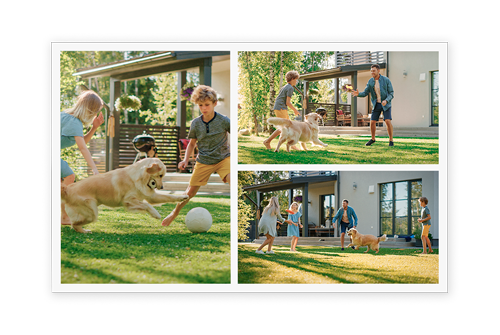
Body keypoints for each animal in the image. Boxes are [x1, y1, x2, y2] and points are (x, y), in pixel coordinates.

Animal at [60, 158, 188, 234]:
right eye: (160, 175)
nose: (161, 187)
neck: (138, 178)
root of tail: (67, 189)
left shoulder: (150, 197)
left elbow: (168, 197)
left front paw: (183, 197)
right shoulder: (128, 200)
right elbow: (146, 205)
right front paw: (155, 214)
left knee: (74, 224)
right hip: (92, 212)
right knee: (74, 224)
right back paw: (84, 231)